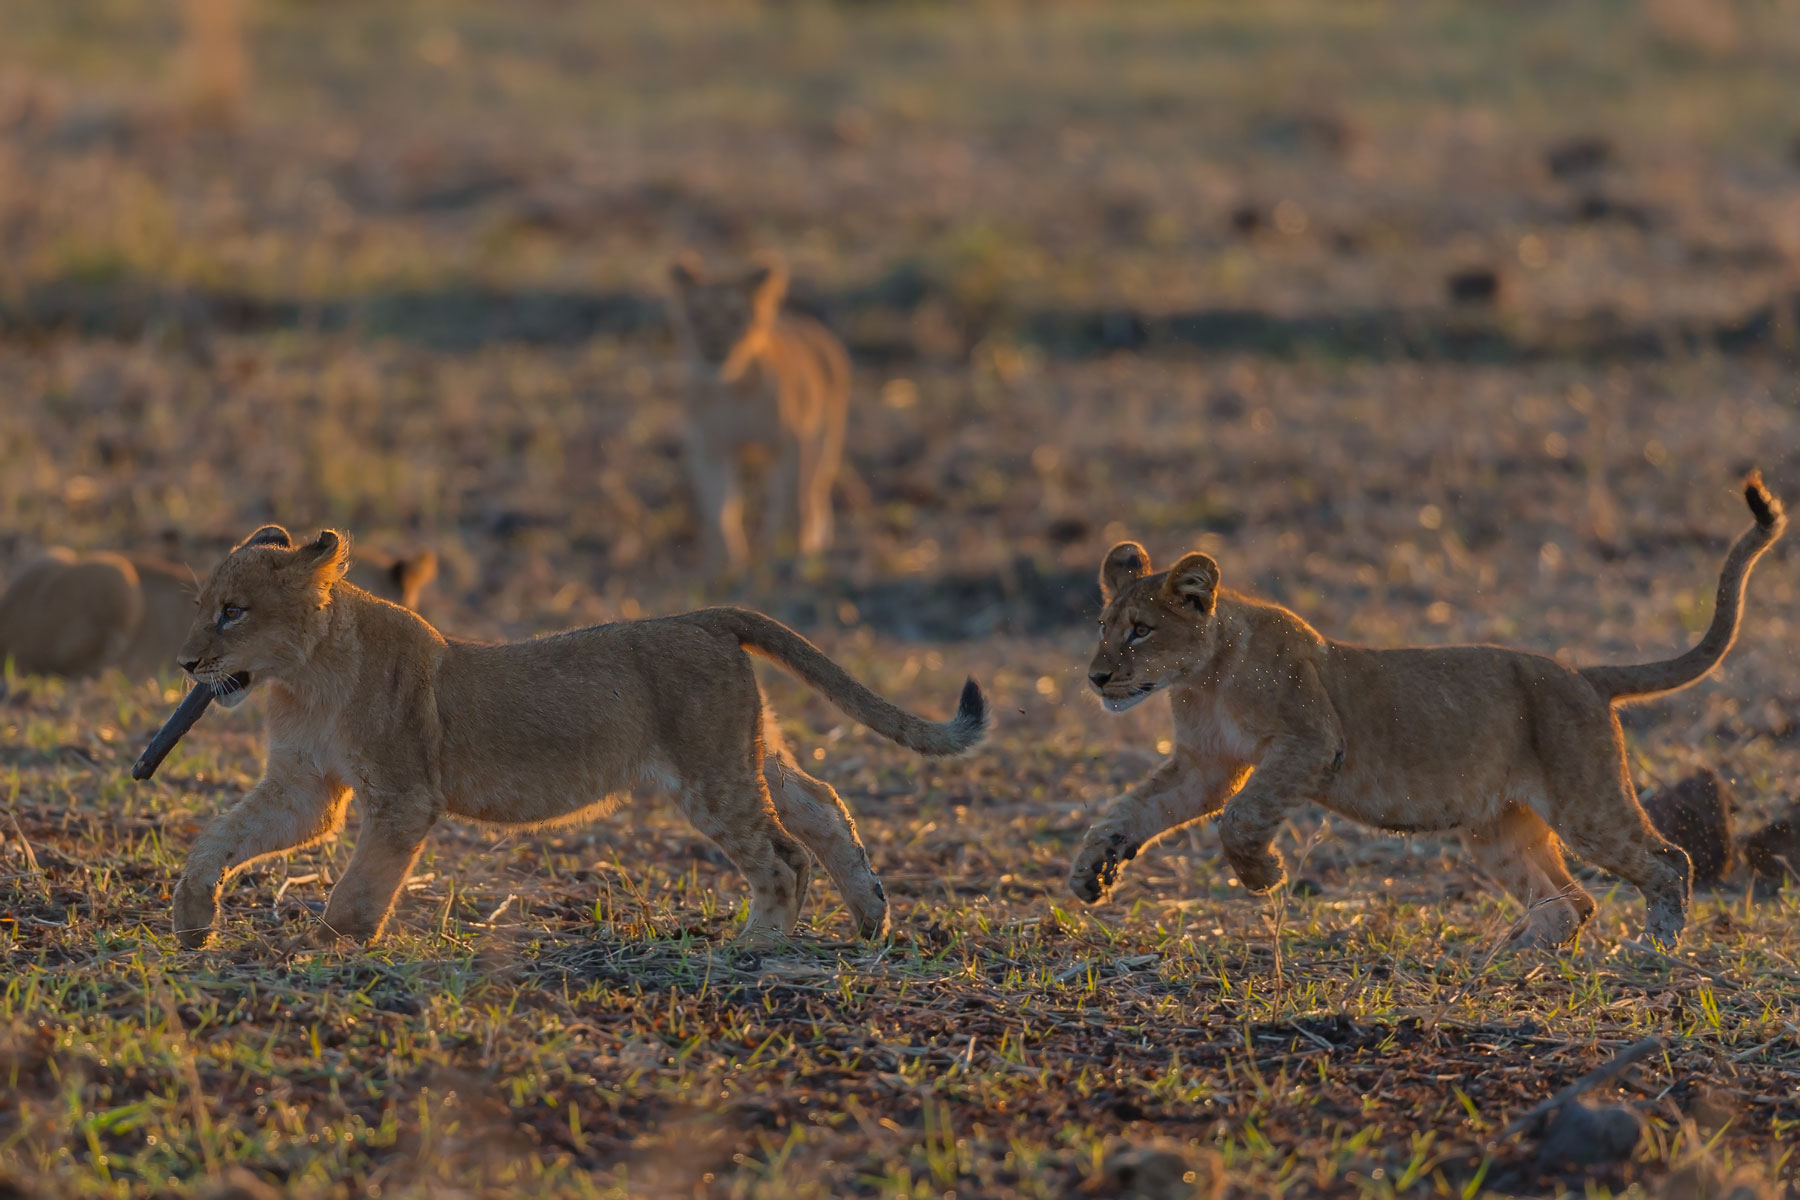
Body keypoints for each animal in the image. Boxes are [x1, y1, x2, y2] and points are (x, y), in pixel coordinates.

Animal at [168, 525, 986, 950]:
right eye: (202, 606)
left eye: (233, 611)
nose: (185, 662)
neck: (302, 677)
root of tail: (705, 616)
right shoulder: (304, 787)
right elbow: (222, 837)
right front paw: (192, 917)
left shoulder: (403, 797)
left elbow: (361, 885)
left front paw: (333, 943)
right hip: (747, 752)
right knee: (820, 802)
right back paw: (870, 916)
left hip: (710, 774)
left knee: (782, 855)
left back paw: (756, 947)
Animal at [667, 253, 851, 573]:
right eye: (696, 315)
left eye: (735, 316)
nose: (713, 348)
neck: (730, 390)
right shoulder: (710, 449)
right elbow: (721, 508)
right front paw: (726, 563)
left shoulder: (790, 444)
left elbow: (791, 501)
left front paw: (787, 551)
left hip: (826, 437)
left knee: (815, 489)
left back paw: (814, 538)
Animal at [1071, 474, 1785, 949]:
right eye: (1103, 626)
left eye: (1140, 630)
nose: (1096, 677)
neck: (1203, 678)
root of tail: (1582, 674)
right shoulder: (1205, 765)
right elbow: (1131, 810)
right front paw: (1091, 873)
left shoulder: (1309, 742)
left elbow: (1242, 817)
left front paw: (1263, 875)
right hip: (1498, 828)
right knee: (1572, 902)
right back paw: (1510, 956)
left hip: (1588, 807)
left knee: (1668, 862)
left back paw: (1656, 944)